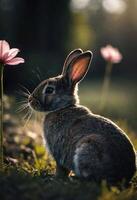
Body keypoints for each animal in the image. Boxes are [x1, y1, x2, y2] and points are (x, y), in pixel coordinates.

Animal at [28, 48, 136, 186]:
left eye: (49, 90)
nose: (30, 100)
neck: (63, 108)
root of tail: (123, 177)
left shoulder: (58, 152)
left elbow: (61, 169)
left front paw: (54, 178)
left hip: (89, 147)